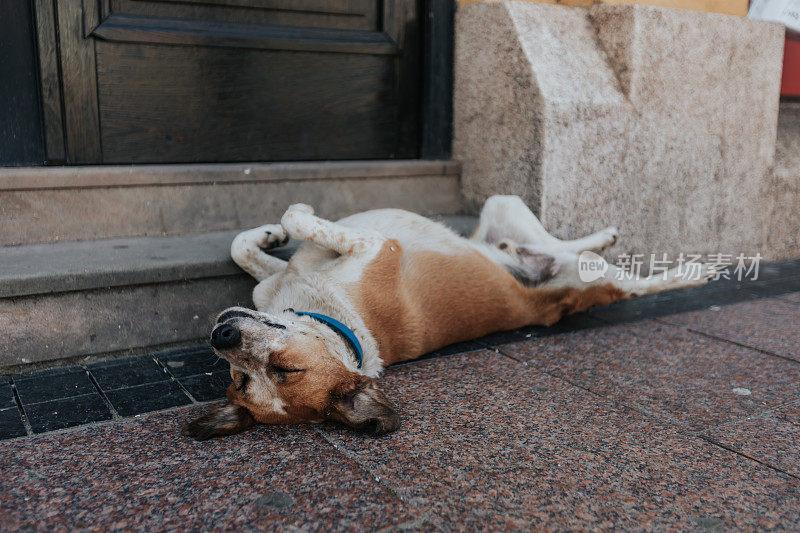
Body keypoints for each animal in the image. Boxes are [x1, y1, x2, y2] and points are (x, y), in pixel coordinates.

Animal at [184, 194, 708, 436]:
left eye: (285, 369)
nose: (222, 336)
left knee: (615, 271)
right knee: (572, 255)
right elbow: (266, 238)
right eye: (242, 379)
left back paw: (682, 266)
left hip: (515, 215)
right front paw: (277, 228)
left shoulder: (374, 247)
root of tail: (545, 302)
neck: (344, 326)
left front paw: (276, 227)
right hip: (522, 224)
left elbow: (274, 230)